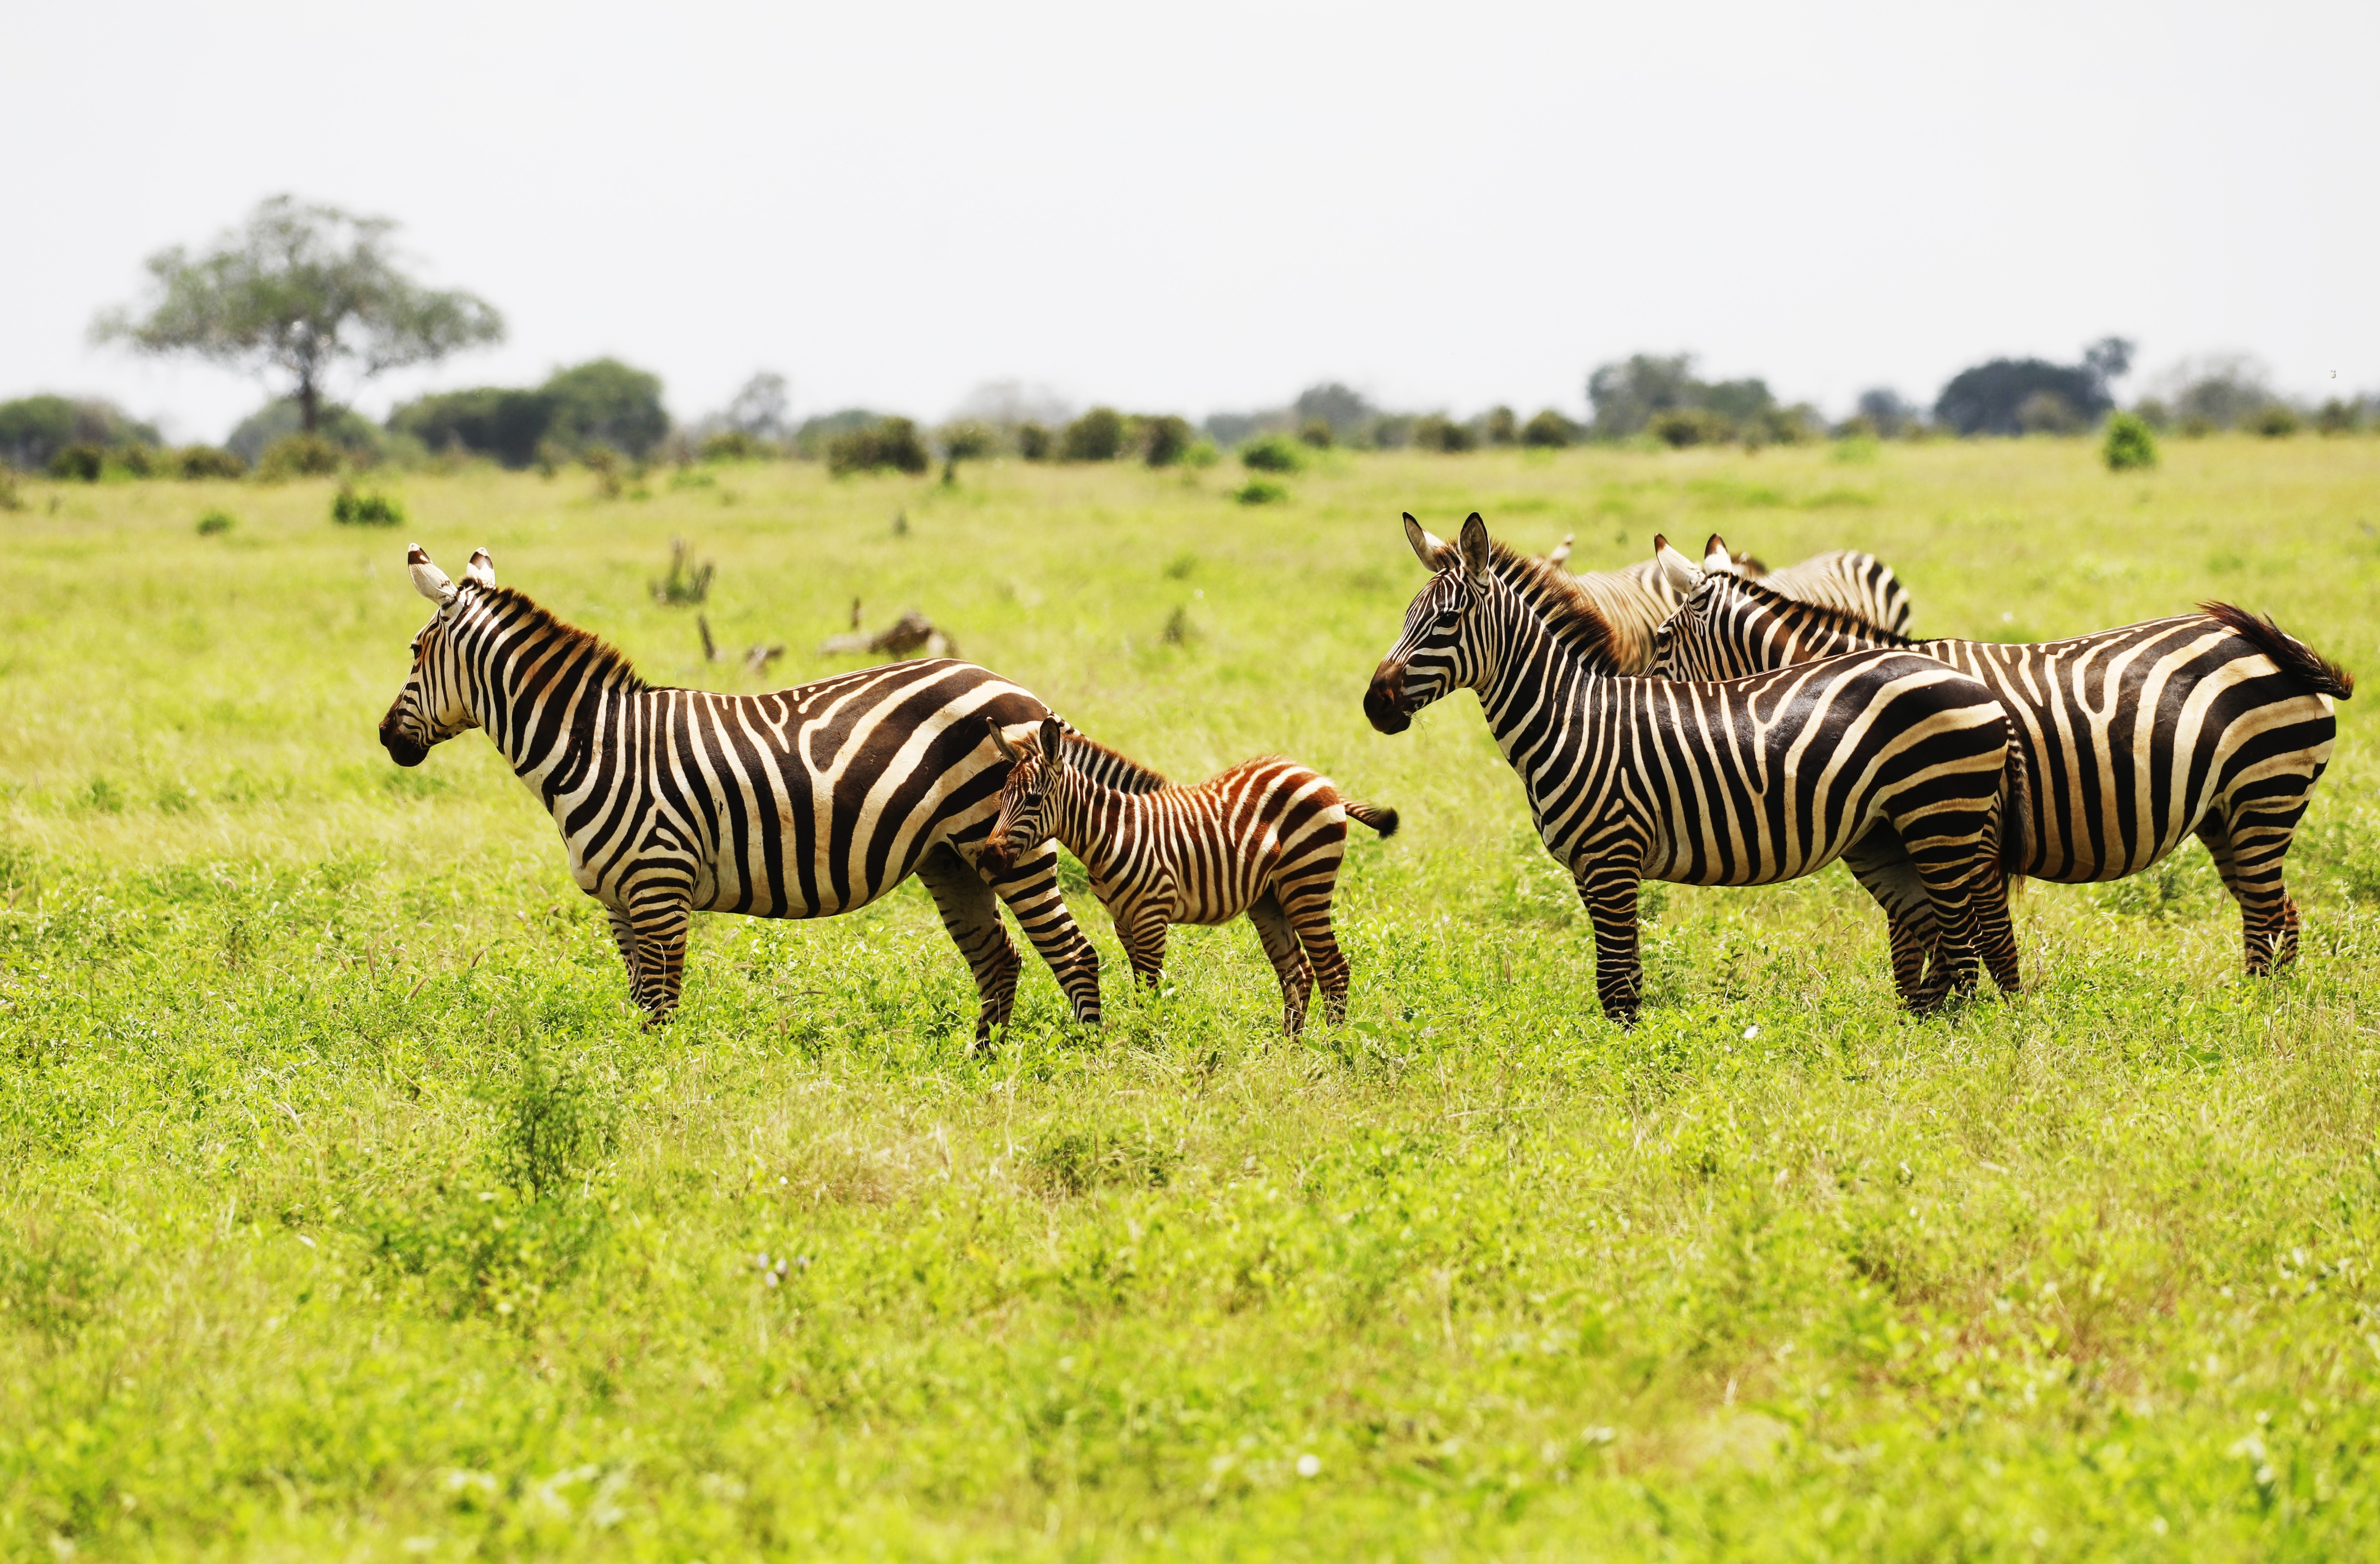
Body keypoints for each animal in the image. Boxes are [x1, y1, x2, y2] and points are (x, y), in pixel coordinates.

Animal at [375, 543, 1126, 1047]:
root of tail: (1021, 692)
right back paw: (981, 1061)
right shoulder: (618, 900)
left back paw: (1083, 1061)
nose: (386, 737)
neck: (595, 745)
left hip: (1010, 845)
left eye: (413, 651)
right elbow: (639, 1002)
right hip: (949, 857)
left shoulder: (659, 885)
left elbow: (661, 1005)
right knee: (998, 959)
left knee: (1073, 953)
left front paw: (656, 1098)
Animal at [977, 717, 1398, 1035]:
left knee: (1333, 970)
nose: (988, 858)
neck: (1114, 830)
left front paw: (1147, 1047)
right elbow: (1139, 988)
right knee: (1299, 973)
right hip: (1269, 899)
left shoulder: (1152, 914)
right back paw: (1288, 1049)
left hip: (1306, 884)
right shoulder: (1123, 921)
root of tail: (1318, 778)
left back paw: (1329, 1049)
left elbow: (1150, 991)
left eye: (1033, 800)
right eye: (1001, 798)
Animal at [1646, 532, 2355, 975]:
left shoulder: (1974, 831)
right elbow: (1914, 942)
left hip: (2265, 791)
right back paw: (2264, 1009)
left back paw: (2256, 1016)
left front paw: (1996, 1026)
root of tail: (2276, 646)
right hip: (2222, 814)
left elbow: (1984, 939)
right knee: (2277, 914)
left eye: (1659, 643)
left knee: (2266, 913)